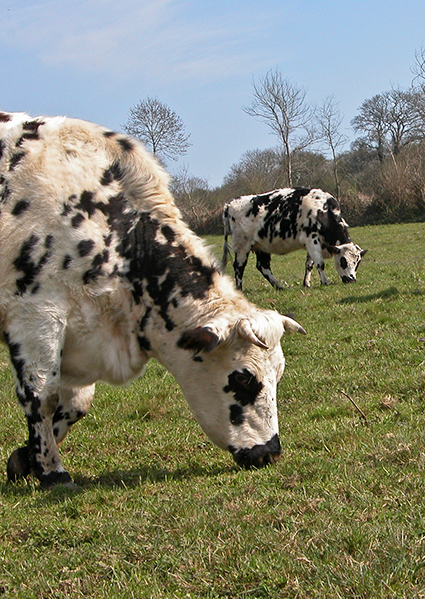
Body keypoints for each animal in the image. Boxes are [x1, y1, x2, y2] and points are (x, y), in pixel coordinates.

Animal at [0, 112, 304, 488]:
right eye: (244, 378)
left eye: (279, 374)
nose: (270, 452)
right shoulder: (37, 316)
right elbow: (43, 396)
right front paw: (51, 471)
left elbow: (77, 402)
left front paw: (23, 459)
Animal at [220, 188, 366, 290]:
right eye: (343, 261)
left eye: (357, 263)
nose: (351, 280)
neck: (322, 211)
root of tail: (230, 203)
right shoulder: (311, 239)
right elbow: (320, 263)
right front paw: (325, 282)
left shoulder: (312, 243)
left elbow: (309, 264)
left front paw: (306, 283)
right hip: (242, 246)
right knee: (239, 267)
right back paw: (239, 289)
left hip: (261, 246)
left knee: (263, 266)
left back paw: (278, 286)